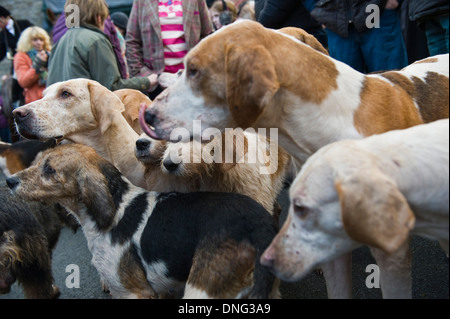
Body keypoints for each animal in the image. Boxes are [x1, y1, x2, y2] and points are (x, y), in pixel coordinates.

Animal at [7, 145, 280, 300]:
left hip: (201, 290)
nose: (9, 181)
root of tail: (261, 225)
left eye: (49, 170)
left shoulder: (132, 293)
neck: (116, 207)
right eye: (35, 161)